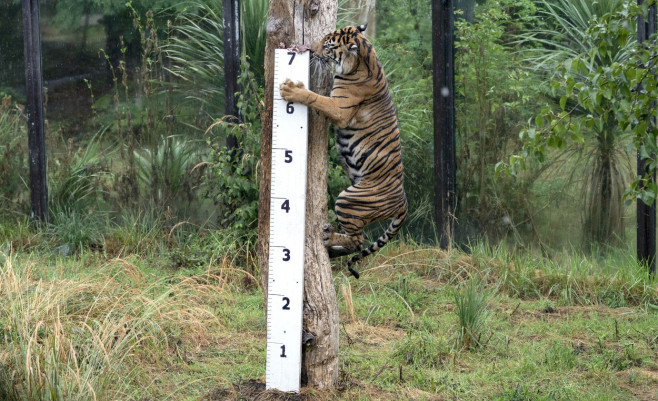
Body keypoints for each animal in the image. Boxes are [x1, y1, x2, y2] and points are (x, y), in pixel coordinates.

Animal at [280, 23, 408, 276]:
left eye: (328, 45)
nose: (311, 49)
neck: (364, 58)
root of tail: (404, 204)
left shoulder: (339, 108)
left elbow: (315, 97)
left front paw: (292, 90)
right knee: (356, 243)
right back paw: (331, 248)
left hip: (349, 200)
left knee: (358, 240)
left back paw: (329, 239)